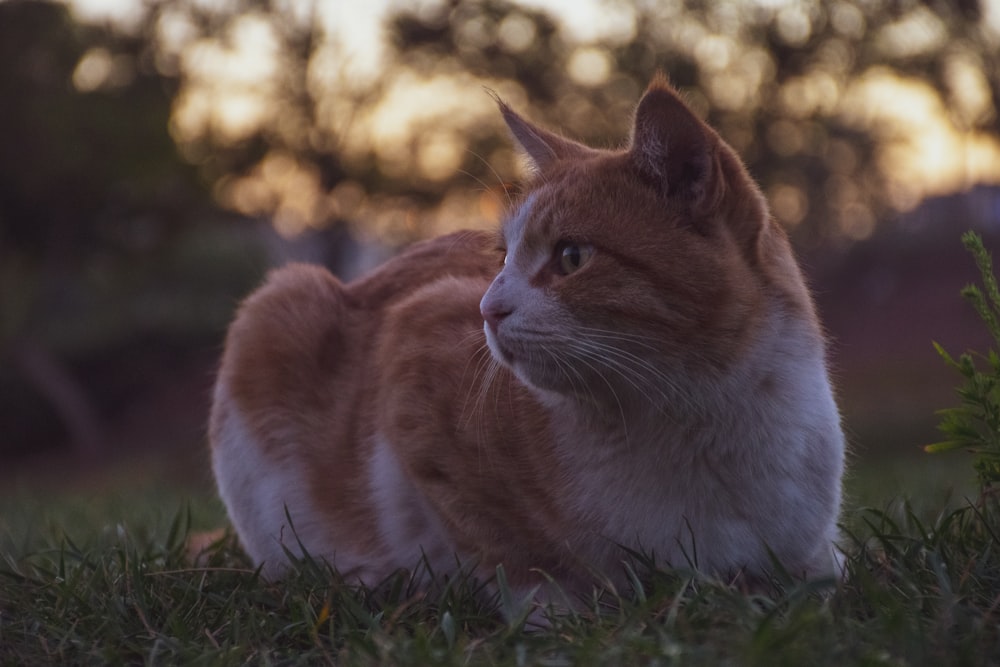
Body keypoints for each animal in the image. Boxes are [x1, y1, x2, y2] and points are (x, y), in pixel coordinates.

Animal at [209, 75, 844, 604]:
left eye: (572, 257)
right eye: (502, 258)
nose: (487, 309)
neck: (698, 419)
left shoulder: (809, 547)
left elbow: (820, 571)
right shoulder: (415, 346)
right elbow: (513, 554)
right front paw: (554, 608)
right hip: (279, 306)